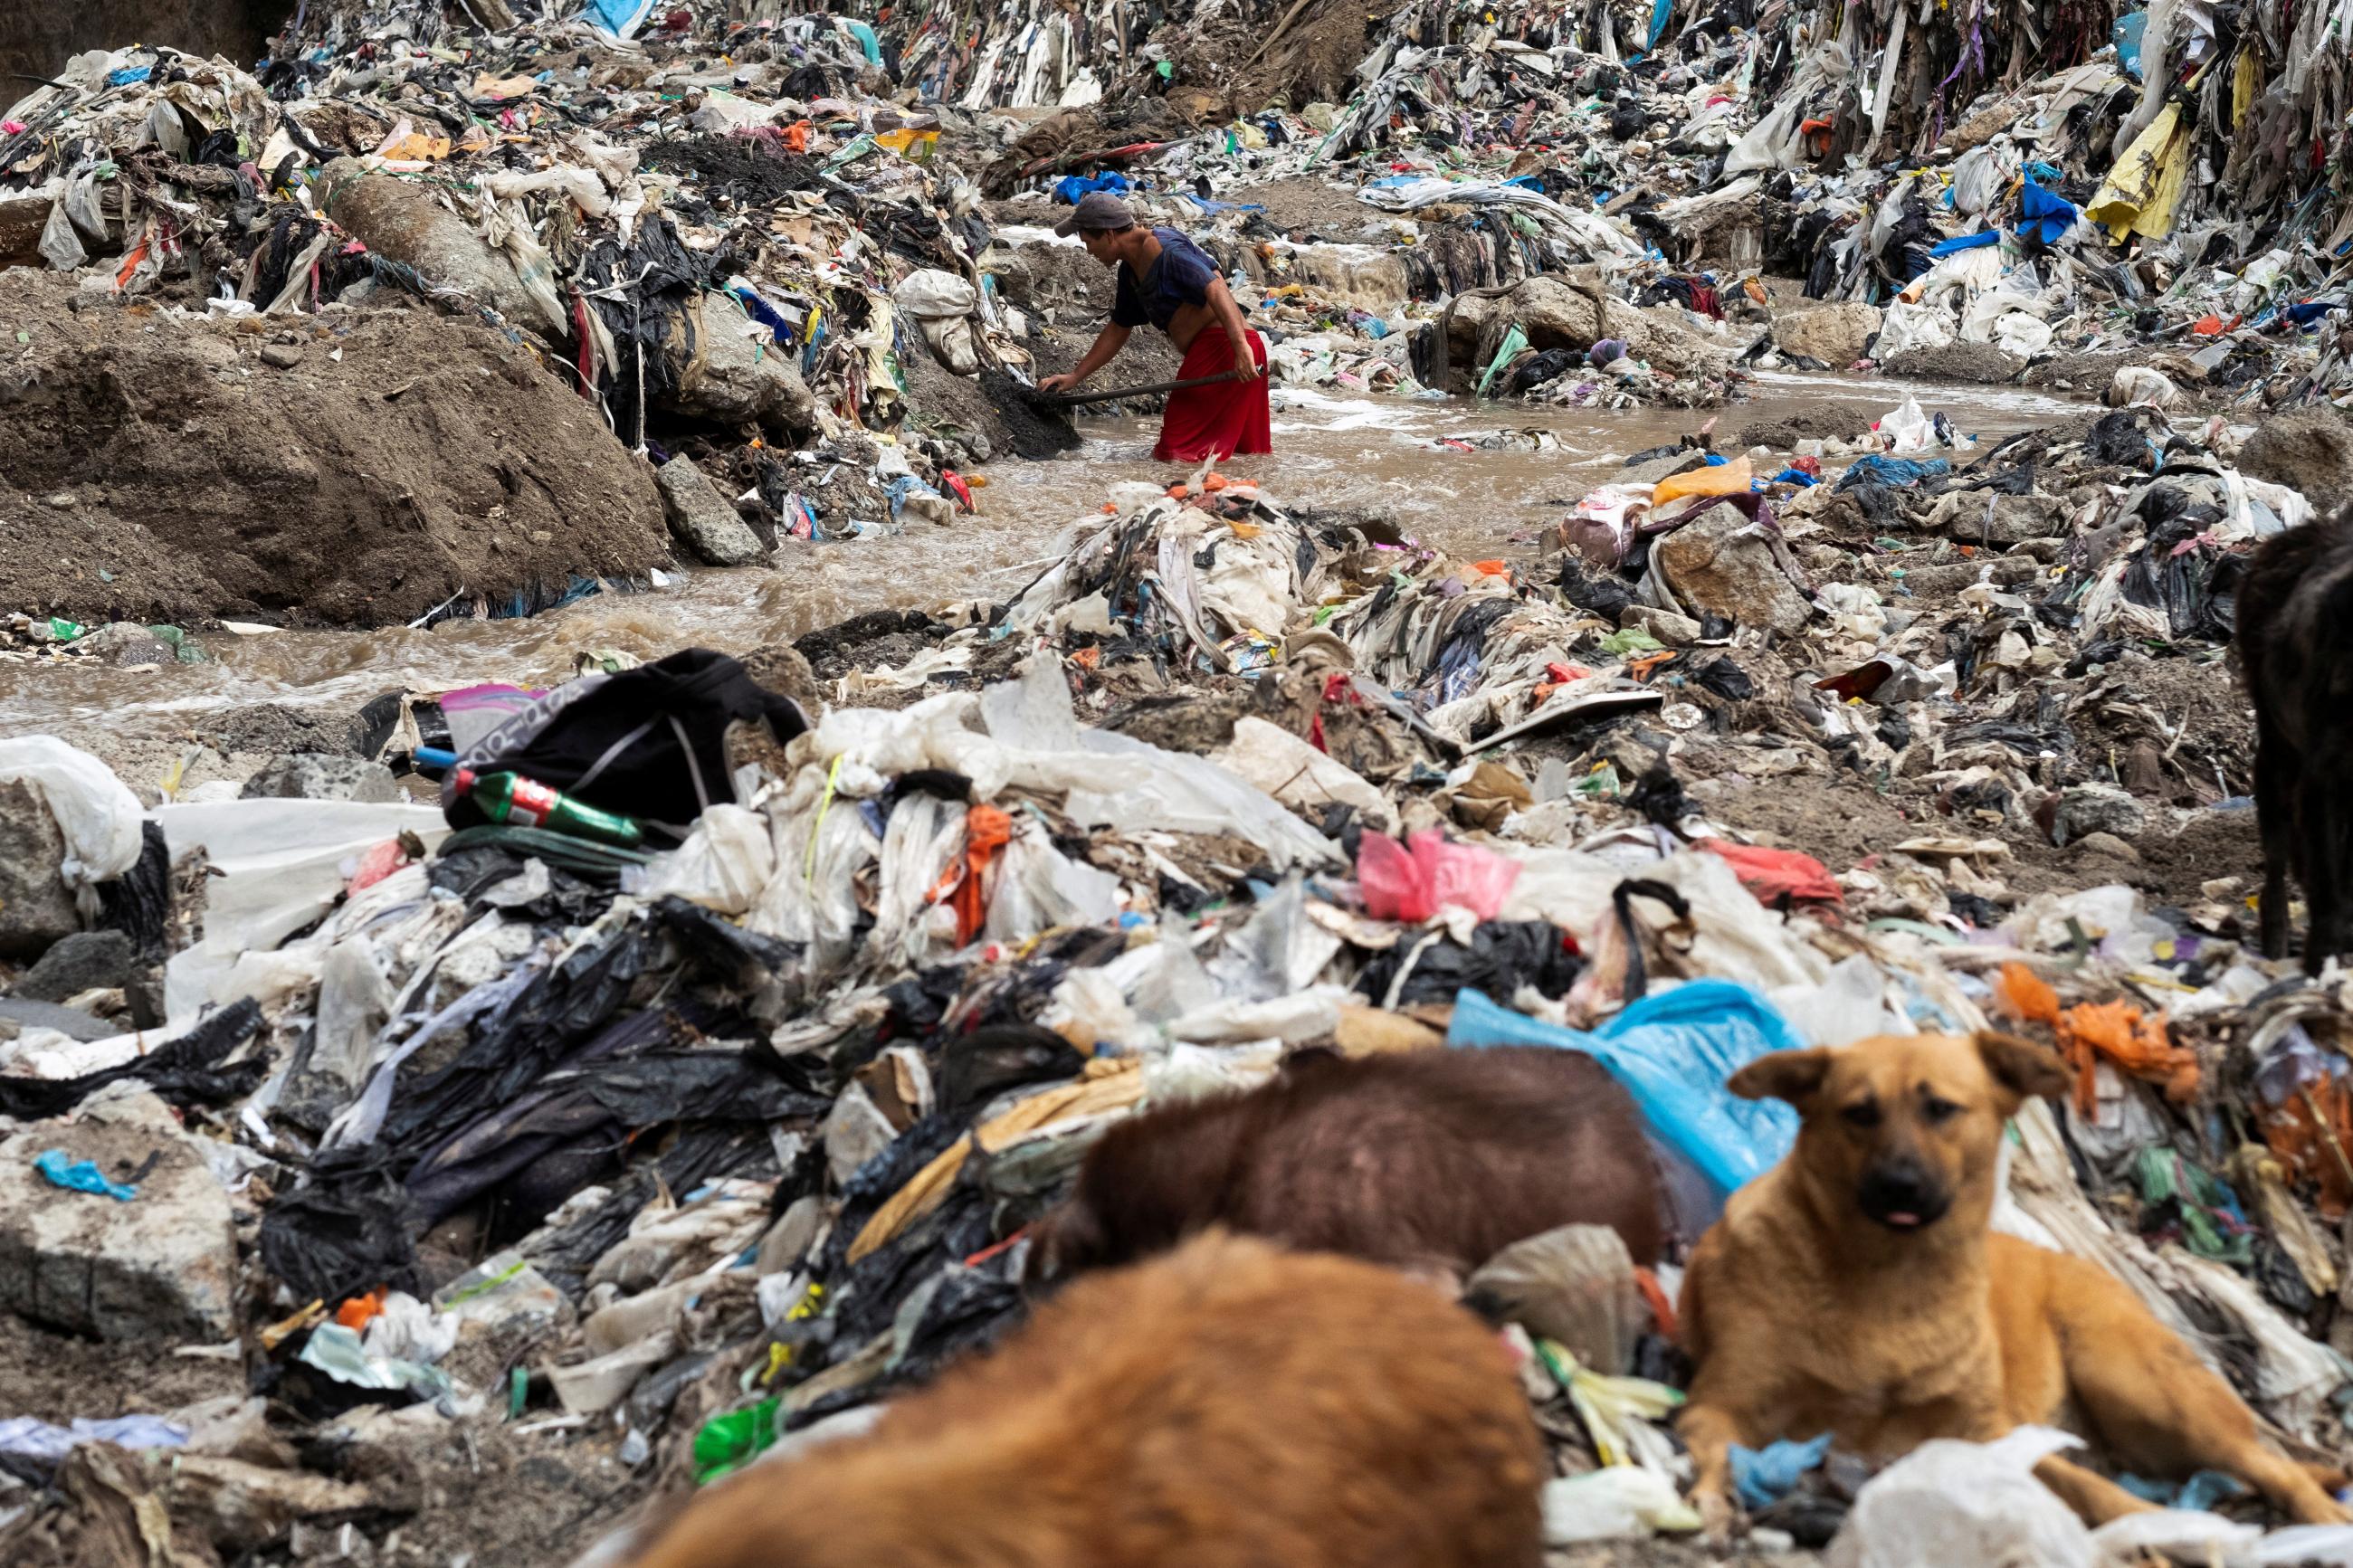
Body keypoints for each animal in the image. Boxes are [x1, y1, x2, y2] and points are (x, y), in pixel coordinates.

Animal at [1684, 1030, 2343, 1533]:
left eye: (1941, 1109)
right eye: (1859, 1113)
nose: (1900, 1187)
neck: (1891, 1282)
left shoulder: (1987, 1433)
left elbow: (2089, 1490)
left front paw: (2150, 1529)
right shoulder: (1719, 1405)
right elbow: (1717, 1450)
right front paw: (1712, 1502)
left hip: (2142, 1387)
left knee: (2274, 1467)